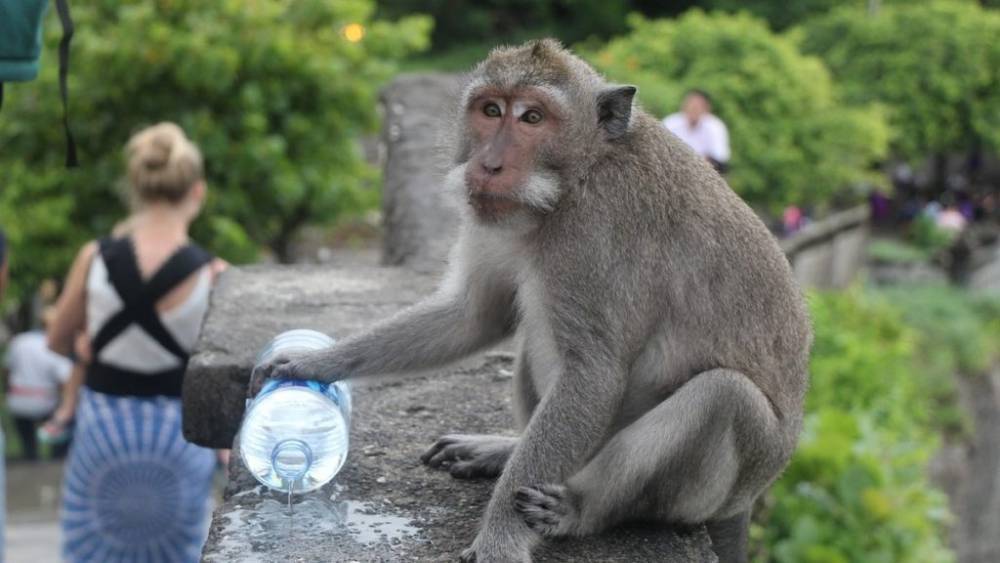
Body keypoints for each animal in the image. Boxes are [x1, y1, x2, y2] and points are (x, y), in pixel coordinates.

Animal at [254, 39, 808, 563]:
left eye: (533, 118)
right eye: (491, 110)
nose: (489, 164)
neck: (575, 178)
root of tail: (749, 501)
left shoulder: (595, 231)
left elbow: (593, 373)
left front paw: (500, 536)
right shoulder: (494, 215)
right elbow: (475, 315)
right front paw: (312, 362)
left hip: (711, 491)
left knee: (724, 396)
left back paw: (579, 509)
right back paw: (505, 450)